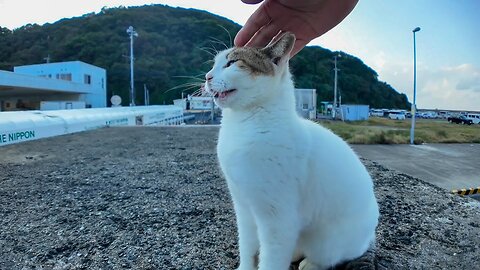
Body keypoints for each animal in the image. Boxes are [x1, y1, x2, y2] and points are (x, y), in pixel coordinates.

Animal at [204, 32, 380, 270]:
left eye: (232, 63)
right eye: (214, 64)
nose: (207, 76)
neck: (243, 124)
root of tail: (369, 235)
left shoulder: (277, 218)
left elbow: (271, 261)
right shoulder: (243, 206)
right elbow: (247, 247)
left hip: (326, 243)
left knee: (331, 257)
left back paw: (310, 263)